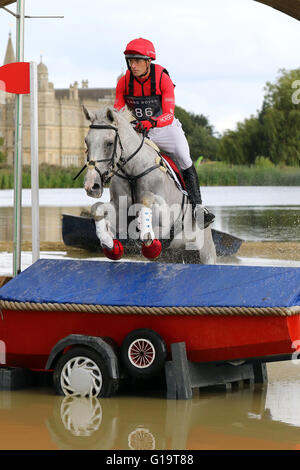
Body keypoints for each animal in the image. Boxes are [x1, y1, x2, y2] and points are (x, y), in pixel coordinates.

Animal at [79, 103, 216, 264]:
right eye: (86, 141)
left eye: (109, 143)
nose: (91, 185)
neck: (132, 172)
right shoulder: (120, 212)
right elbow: (97, 208)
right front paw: (109, 243)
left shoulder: (167, 216)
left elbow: (146, 200)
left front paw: (147, 236)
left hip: (206, 252)